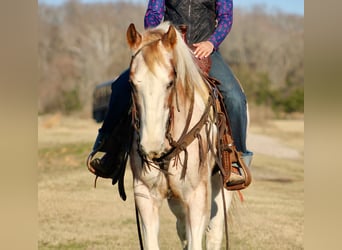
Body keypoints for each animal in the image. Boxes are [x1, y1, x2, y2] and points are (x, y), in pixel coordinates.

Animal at [127, 22, 234, 250]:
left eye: (170, 82)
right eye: (131, 83)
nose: (151, 146)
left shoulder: (197, 198)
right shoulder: (145, 195)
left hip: (222, 187)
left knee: (214, 232)